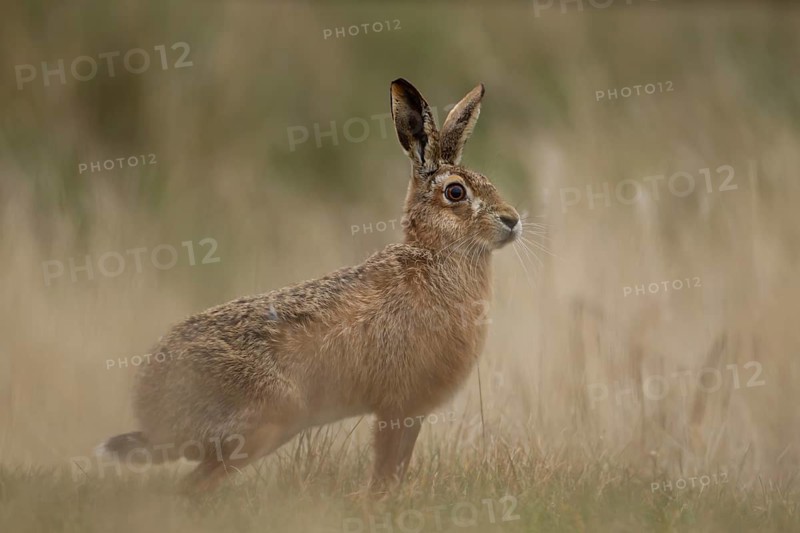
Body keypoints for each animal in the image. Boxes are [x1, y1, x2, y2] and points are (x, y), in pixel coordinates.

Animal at [96, 78, 521, 492]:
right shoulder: (397, 405)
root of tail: (152, 408)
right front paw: (379, 503)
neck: (436, 255)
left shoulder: (411, 411)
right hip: (269, 417)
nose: (513, 219)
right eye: (455, 192)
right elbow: (386, 466)